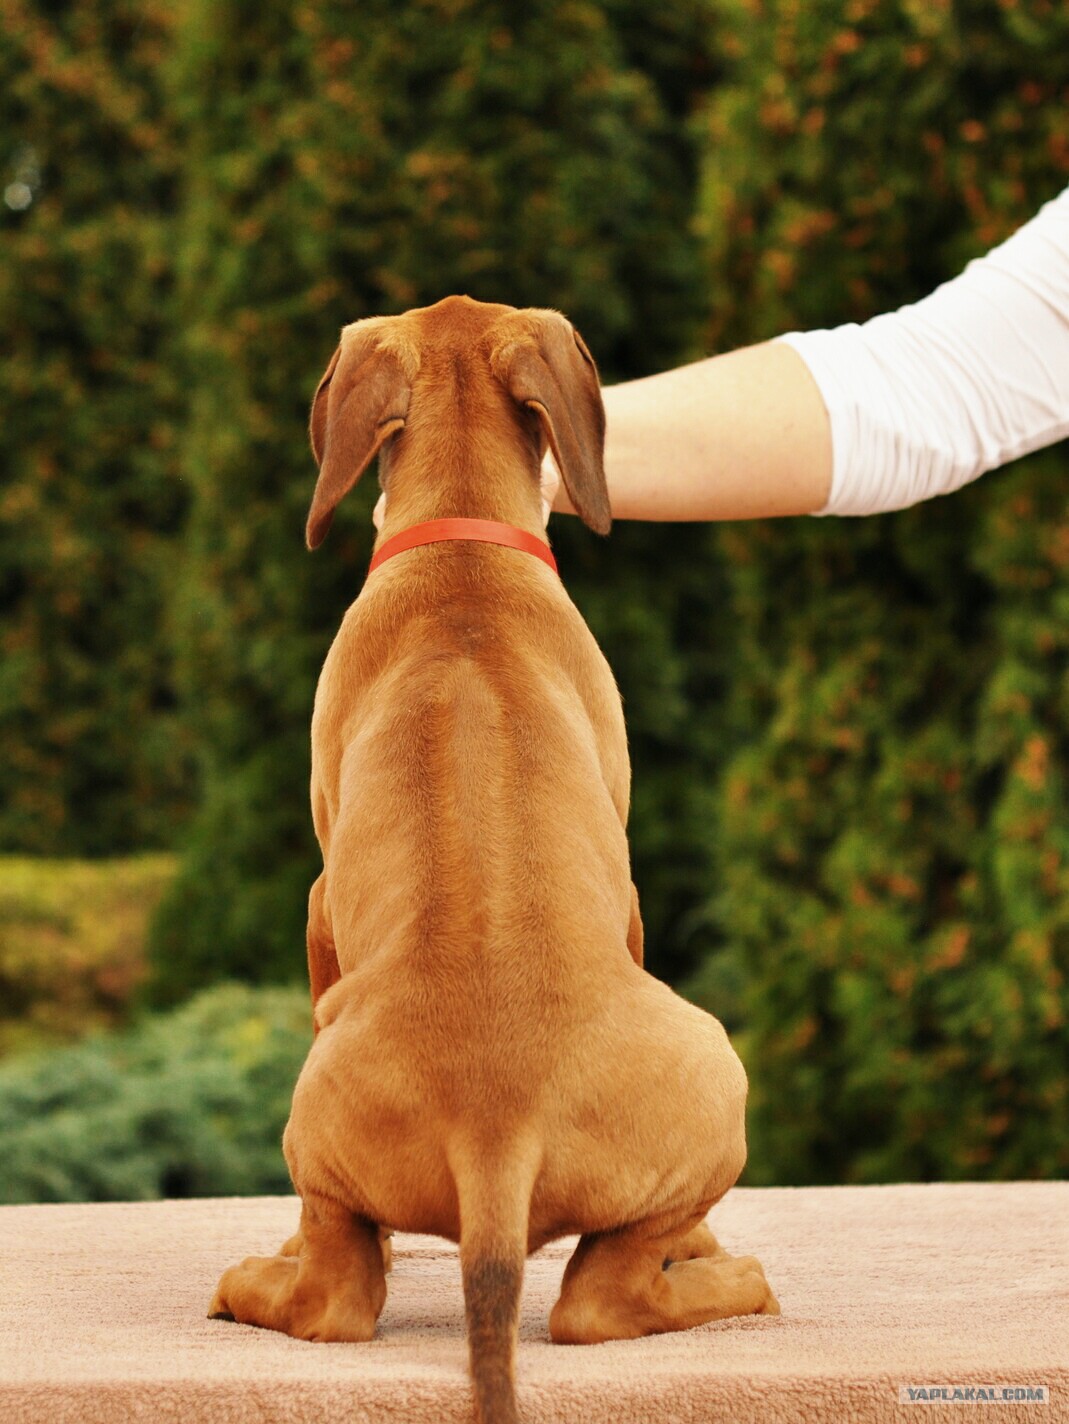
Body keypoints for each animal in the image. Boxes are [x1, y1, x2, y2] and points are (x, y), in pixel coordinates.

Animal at [209, 297, 780, 1424]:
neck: (462, 546)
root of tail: (494, 1124)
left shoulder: (318, 905)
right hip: (713, 1069)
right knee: (587, 1295)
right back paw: (723, 1270)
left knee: (346, 1284)